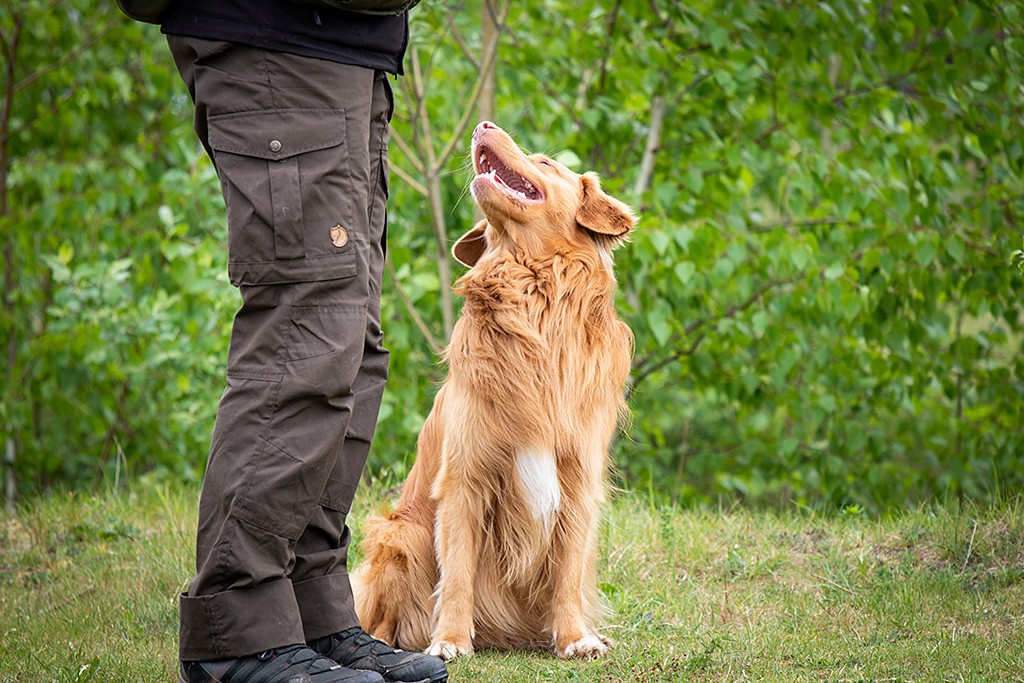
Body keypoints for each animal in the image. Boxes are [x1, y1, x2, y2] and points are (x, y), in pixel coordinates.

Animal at [352, 121, 634, 663]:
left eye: (545, 163)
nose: (484, 125)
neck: (533, 299)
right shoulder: (466, 477)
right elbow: (459, 572)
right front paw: (450, 641)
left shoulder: (578, 476)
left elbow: (568, 572)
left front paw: (575, 637)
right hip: (401, 535)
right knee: (380, 617)